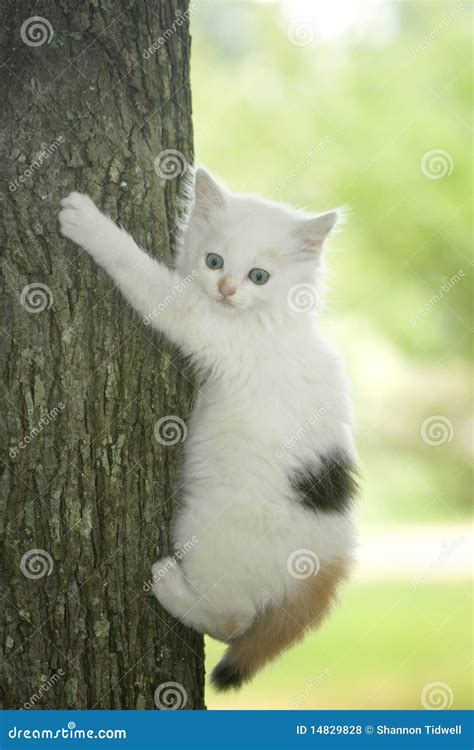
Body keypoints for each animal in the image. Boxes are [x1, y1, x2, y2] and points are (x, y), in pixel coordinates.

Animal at [61, 169, 362, 692]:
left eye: (258, 277)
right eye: (213, 261)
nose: (224, 288)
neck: (270, 321)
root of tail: (330, 564)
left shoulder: (200, 321)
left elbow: (145, 276)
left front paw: (87, 220)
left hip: (207, 529)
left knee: (234, 619)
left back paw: (169, 585)